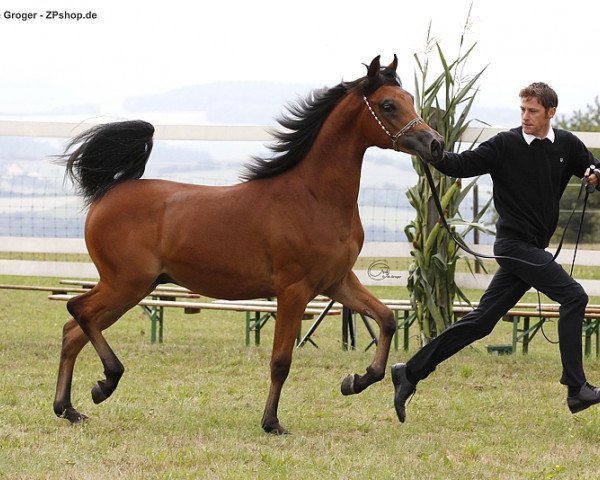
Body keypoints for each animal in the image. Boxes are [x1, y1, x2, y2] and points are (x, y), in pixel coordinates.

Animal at [54, 54, 442, 434]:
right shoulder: (294, 290)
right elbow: (281, 360)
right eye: (388, 104)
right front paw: (272, 422)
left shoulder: (336, 282)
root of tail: (109, 192)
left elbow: (387, 319)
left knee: (73, 331)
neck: (313, 198)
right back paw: (105, 383)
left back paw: (69, 409)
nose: (434, 143)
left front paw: (355, 381)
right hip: (126, 284)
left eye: (410, 99)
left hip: (136, 287)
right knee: (78, 310)